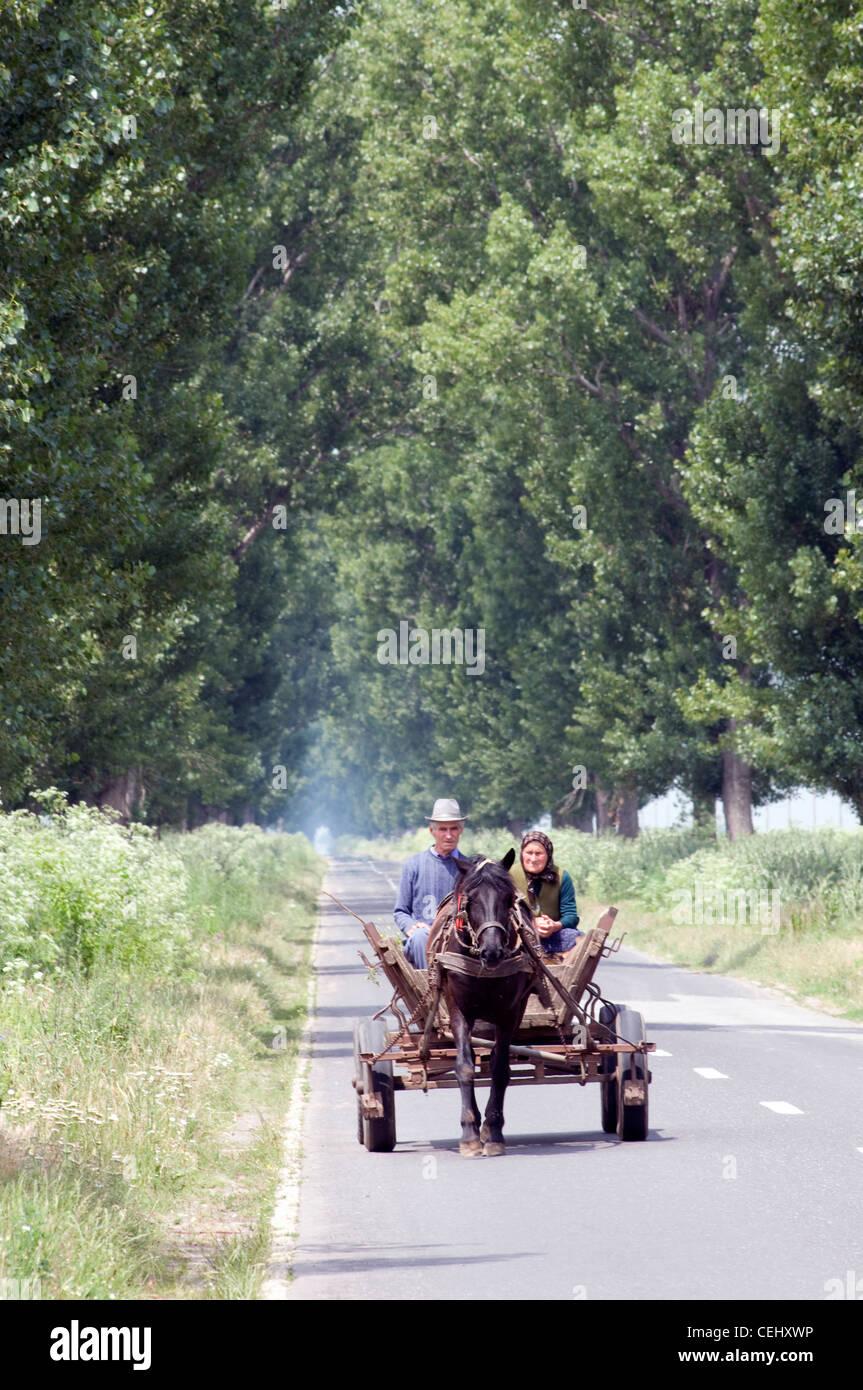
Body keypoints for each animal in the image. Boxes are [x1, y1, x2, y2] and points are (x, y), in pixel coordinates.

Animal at [428, 850, 536, 1156]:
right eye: (471, 900)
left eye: (508, 898)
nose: (492, 951)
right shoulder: (458, 1009)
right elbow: (464, 1066)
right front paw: (469, 1134)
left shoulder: (510, 1012)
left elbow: (499, 1070)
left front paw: (495, 1132)